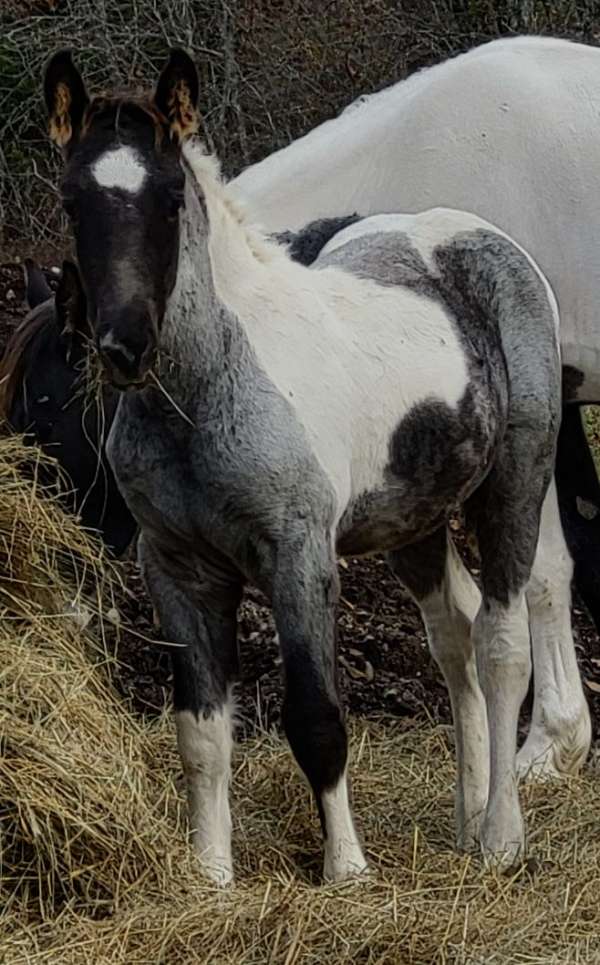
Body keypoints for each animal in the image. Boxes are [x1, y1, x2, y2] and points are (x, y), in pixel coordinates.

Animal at [43, 50, 564, 880]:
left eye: (168, 199)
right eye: (71, 199)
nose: (125, 347)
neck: (208, 390)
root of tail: (483, 239)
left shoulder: (300, 558)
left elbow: (317, 717)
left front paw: (346, 869)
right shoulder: (178, 569)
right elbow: (201, 731)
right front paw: (211, 873)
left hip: (515, 479)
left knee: (501, 643)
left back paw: (500, 839)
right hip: (412, 521)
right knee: (454, 635)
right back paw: (465, 817)